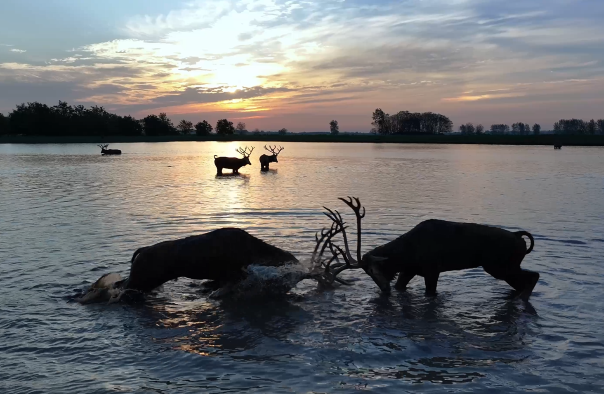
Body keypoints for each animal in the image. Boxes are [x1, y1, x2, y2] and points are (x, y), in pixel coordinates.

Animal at [310, 197, 540, 302]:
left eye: (375, 268)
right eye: (367, 273)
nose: (383, 289)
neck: (405, 254)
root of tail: (519, 237)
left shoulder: (432, 269)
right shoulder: (409, 270)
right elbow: (401, 287)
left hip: (499, 266)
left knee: (533, 276)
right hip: (504, 267)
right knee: (524, 280)